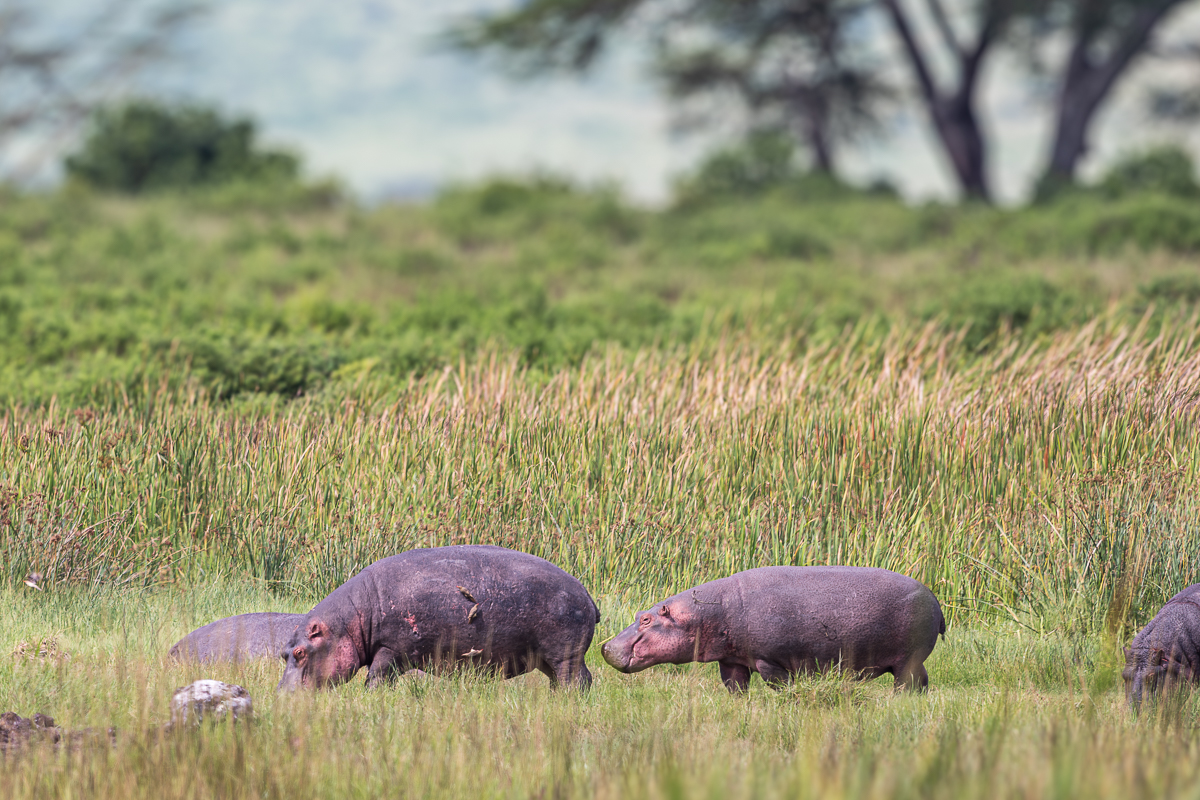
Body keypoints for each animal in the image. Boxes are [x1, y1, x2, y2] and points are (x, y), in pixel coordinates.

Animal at [277, 545, 600, 691]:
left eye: (300, 652)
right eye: (283, 653)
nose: (281, 695)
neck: (350, 621)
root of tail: (585, 592)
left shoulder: (390, 649)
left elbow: (377, 677)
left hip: (565, 653)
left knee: (577, 679)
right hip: (546, 657)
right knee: (564, 678)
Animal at [601, 566, 945, 692]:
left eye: (647, 620)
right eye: (639, 614)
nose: (605, 646)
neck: (710, 612)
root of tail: (936, 601)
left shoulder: (770, 661)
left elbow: (779, 684)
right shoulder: (732, 660)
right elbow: (735, 686)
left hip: (906, 661)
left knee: (908, 683)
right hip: (912, 661)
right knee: (923, 681)